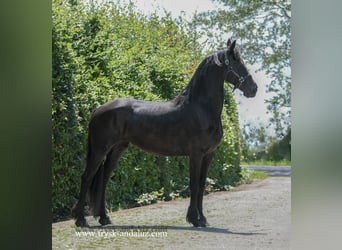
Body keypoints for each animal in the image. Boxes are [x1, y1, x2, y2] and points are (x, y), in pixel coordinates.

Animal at [71, 38, 256, 227]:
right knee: (86, 177)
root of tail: (97, 109)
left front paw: (202, 219)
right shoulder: (196, 154)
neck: (201, 108)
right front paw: (194, 219)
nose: (253, 88)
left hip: (116, 149)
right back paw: (80, 220)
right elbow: (194, 185)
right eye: (236, 62)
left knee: (103, 179)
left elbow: (202, 185)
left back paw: (104, 217)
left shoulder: (208, 154)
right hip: (100, 149)